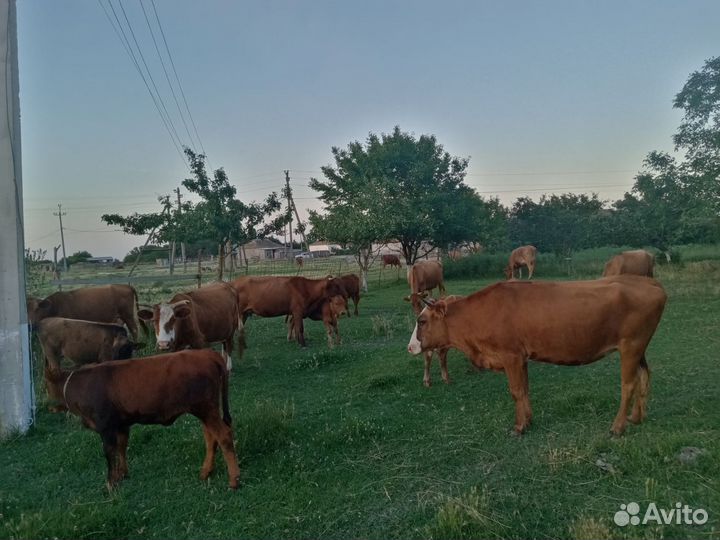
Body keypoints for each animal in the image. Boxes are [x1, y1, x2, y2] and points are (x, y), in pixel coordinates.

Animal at [42, 349, 240, 490]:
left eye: (47, 387)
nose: (47, 407)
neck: (81, 384)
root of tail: (206, 353)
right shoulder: (121, 424)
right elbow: (122, 447)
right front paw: (123, 474)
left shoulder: (106, 427)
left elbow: (110, 453)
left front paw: (111, 482)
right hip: (206, 411)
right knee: (211, 436)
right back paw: (206, 472)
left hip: (205, 409)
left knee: (223, 435)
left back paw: (233, 480)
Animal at [407, 276, 667, 436]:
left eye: (422, 320)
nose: (410, 347)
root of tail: (650, 282)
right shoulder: (521, 357)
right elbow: (525, 389)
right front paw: (529, 420)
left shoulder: (510, 355)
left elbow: (515, 391)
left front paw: (519, 427)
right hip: (639, 347)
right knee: (644, 375)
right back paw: (636, 417)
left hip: (631, 345)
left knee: (628, 384)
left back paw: (618, 427)